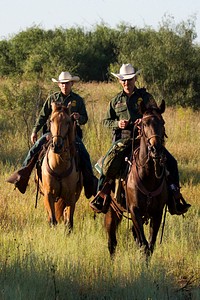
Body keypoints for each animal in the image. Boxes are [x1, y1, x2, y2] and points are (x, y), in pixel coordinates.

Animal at [39, 102, 83, 231]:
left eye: (68, 121)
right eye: (51, 120)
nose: (57, 146)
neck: (59, 165)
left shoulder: (71, 197)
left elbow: (69, 222)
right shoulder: (48, 195)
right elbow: (53, 220)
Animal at [104, 99, 168, 256]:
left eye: (162, 122)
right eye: (144, 124)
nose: (156, 149)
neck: (148, 176)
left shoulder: (157, 213)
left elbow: (150, 245)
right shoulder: (134, 211)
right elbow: (144, 244)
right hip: (112, 210)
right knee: (112, 242)